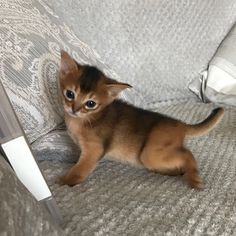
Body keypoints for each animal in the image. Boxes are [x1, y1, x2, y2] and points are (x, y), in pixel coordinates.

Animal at [56, 50, 224, 189]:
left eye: (91, 103)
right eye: (70, 94)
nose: (74, 110)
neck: (86, 119)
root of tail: (180, 124)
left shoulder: (94, 149)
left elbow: (80, 169)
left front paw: (65, 181)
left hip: (150, 154)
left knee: (188, 154)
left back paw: (193, 177)